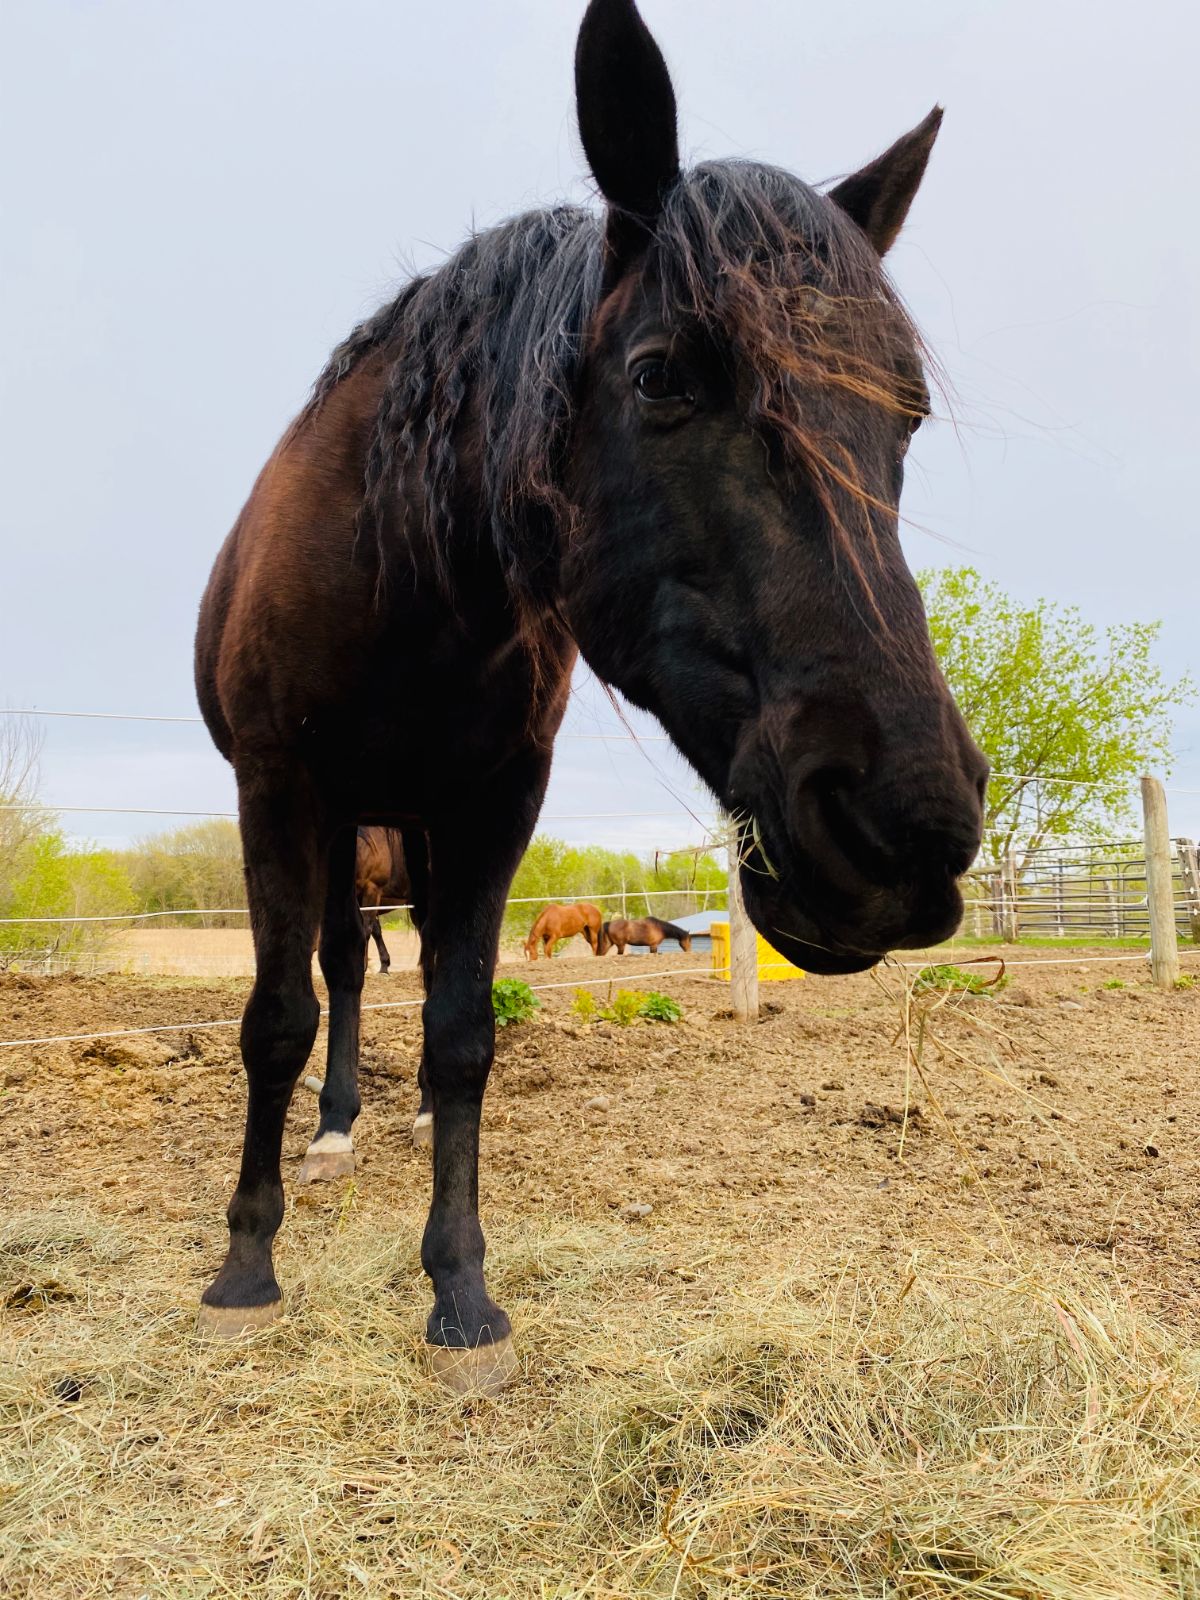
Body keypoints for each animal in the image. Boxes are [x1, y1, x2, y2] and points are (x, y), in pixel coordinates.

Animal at [195, 0, 985, 1388]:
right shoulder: (277, 789)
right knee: (337, 975)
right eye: (664, 375)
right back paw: (329, 1133)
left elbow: (463, 1031)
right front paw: (248, 1266)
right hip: (340, 822)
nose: (907, 833)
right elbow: (277, 1015)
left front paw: (461, 1292)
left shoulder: (496, 802)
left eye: (908, 412)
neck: (399, 573)